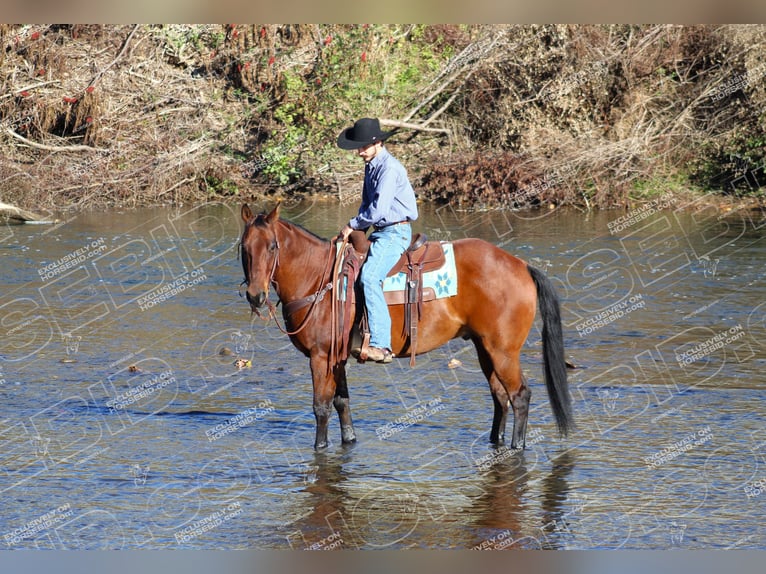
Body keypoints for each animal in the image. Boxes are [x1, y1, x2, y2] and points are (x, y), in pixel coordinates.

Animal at [242, 205, 576, 452]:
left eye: (272, 246)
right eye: (245, 248)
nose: (255, 296)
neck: (319, 279)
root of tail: (521, 265)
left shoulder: (321, 356)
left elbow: (321, 407)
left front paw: (320, 447)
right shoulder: (338, 357)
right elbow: (342, 402)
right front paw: (349, 440)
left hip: (503, 351)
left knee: (520, 395)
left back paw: (518, 447)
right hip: (486, 349)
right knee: (499, 396)